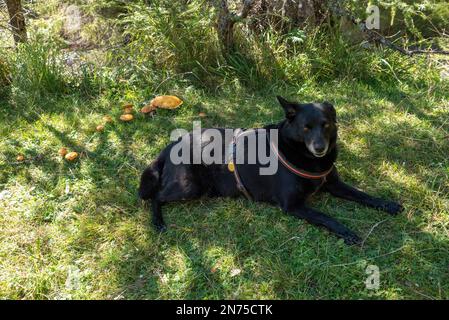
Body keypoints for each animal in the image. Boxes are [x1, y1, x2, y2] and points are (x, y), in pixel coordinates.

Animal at [137, 96, 402, 244]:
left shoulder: (334, 184)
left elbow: (362, 194)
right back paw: (158, 222)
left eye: (325, 125)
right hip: (190, 186)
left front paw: (386, 204)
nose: (320, 148)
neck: (301, 154)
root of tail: (172, 144)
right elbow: (328, 217)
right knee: (156, 196)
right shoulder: (292, 205)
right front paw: (347, 232)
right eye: (306, 128)